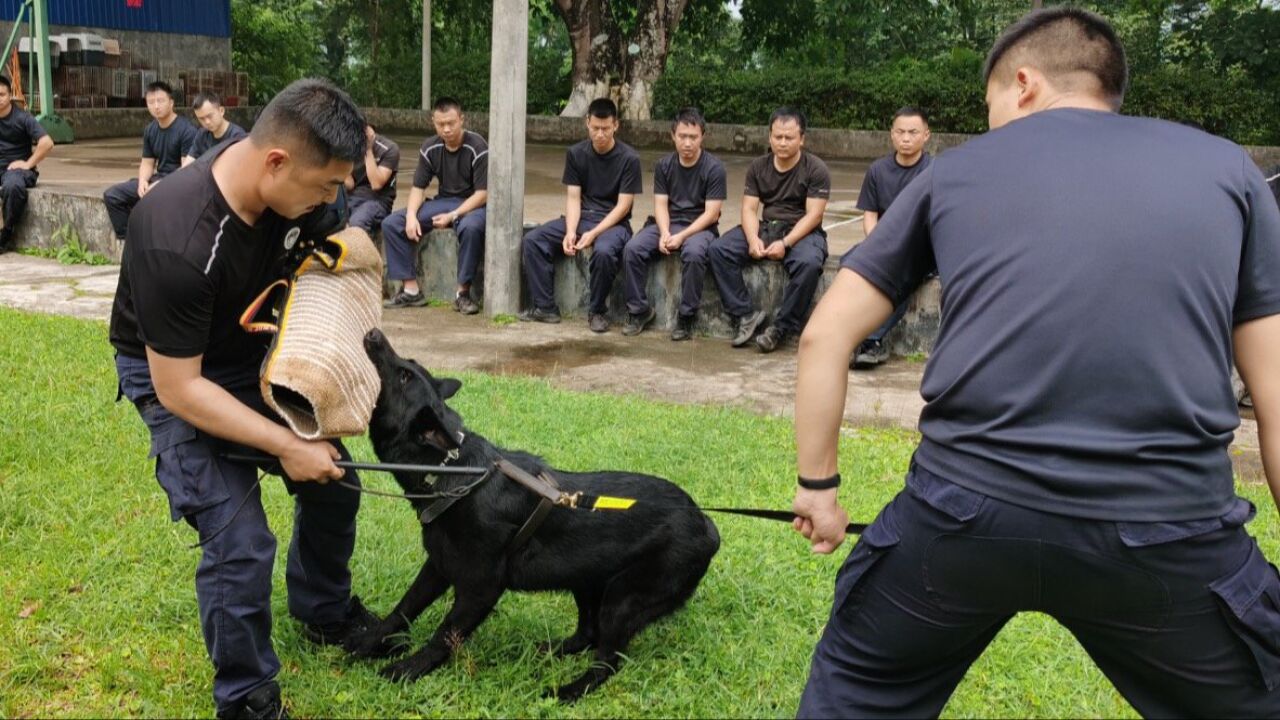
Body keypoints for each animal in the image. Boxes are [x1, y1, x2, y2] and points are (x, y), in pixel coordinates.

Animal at [345, 327, 721, 696]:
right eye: (407, 366)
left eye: (404, 375)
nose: (374, 333)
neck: (453, 470)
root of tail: (705, 523)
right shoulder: (437, 567)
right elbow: (403, 609)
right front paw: (368, 644)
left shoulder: (480, 589)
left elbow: (445, 634)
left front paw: (410, 668)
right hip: (586, 582)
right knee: (588, 636)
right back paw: (550, 651)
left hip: (622, 600)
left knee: (607, 661)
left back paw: (568, 691)